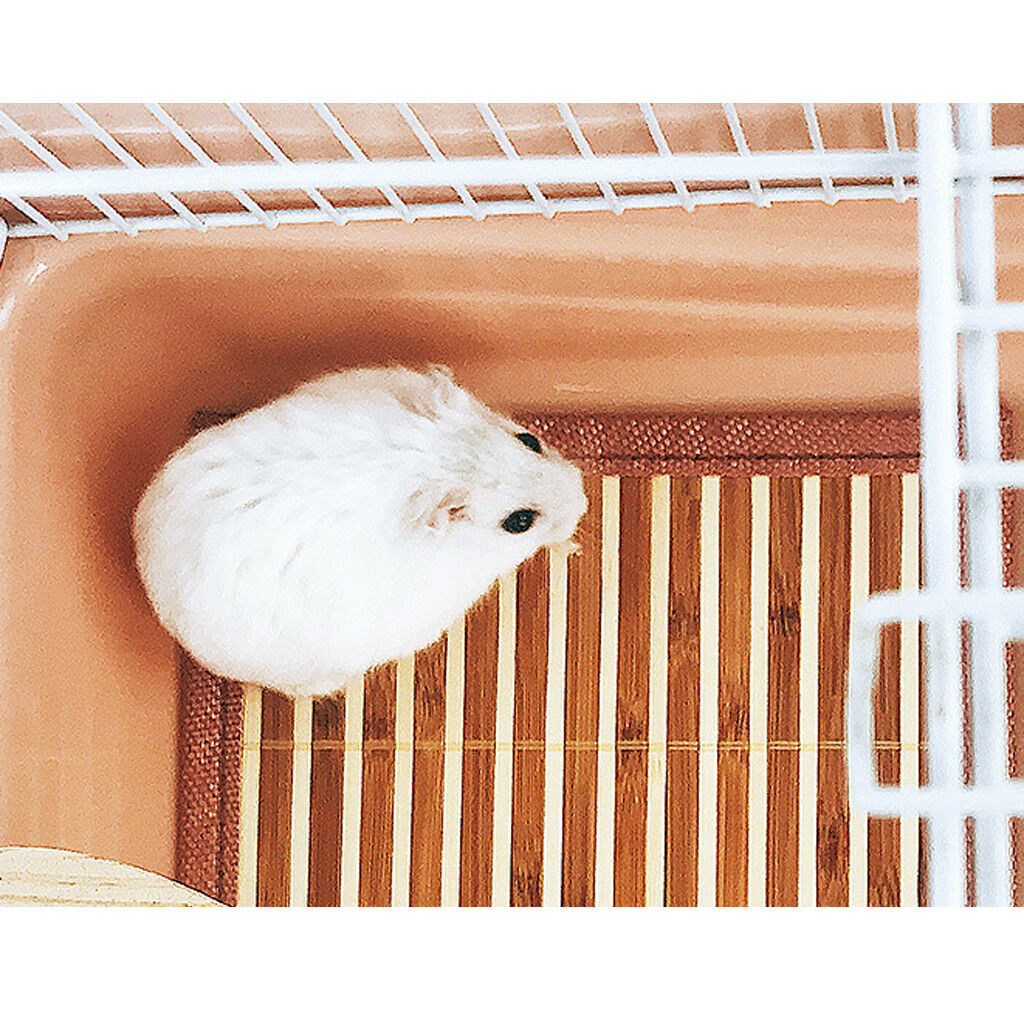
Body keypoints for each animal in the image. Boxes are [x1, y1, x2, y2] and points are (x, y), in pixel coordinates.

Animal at [133, 365, 587, 698]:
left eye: (530, 440)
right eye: (519, 521)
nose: (584, 500)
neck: (434, 463)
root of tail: (146, 568)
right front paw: (571, 544)